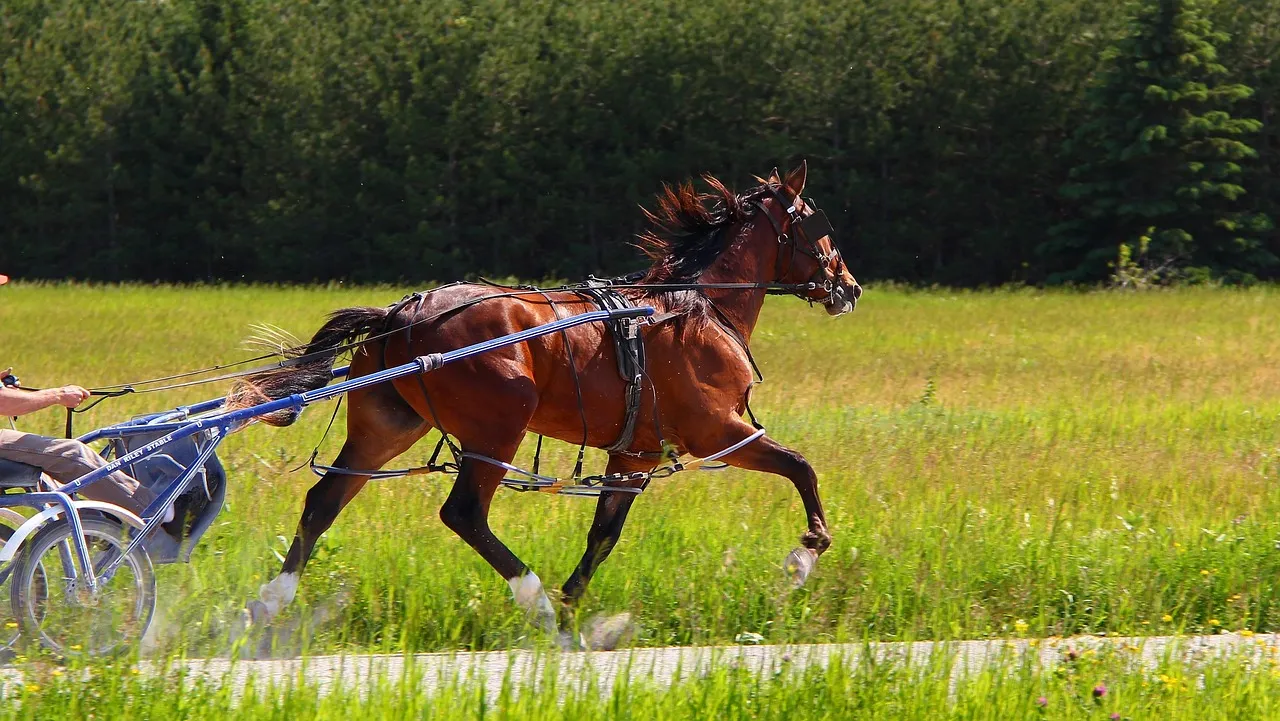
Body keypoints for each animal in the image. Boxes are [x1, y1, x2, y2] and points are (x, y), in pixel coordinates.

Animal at [229, 161, 861, 644]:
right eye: (818, 224)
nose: (849, 287)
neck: (696, 309)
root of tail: (401, 315)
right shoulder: (717, 432)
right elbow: (801, 468)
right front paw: (805, 555)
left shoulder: (635, 454)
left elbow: (603, 535)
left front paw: (572, 607)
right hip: (497, 427)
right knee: (464, 514)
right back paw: (532, 601)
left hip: (388, 426)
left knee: (323, 503)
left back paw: (268, 604)